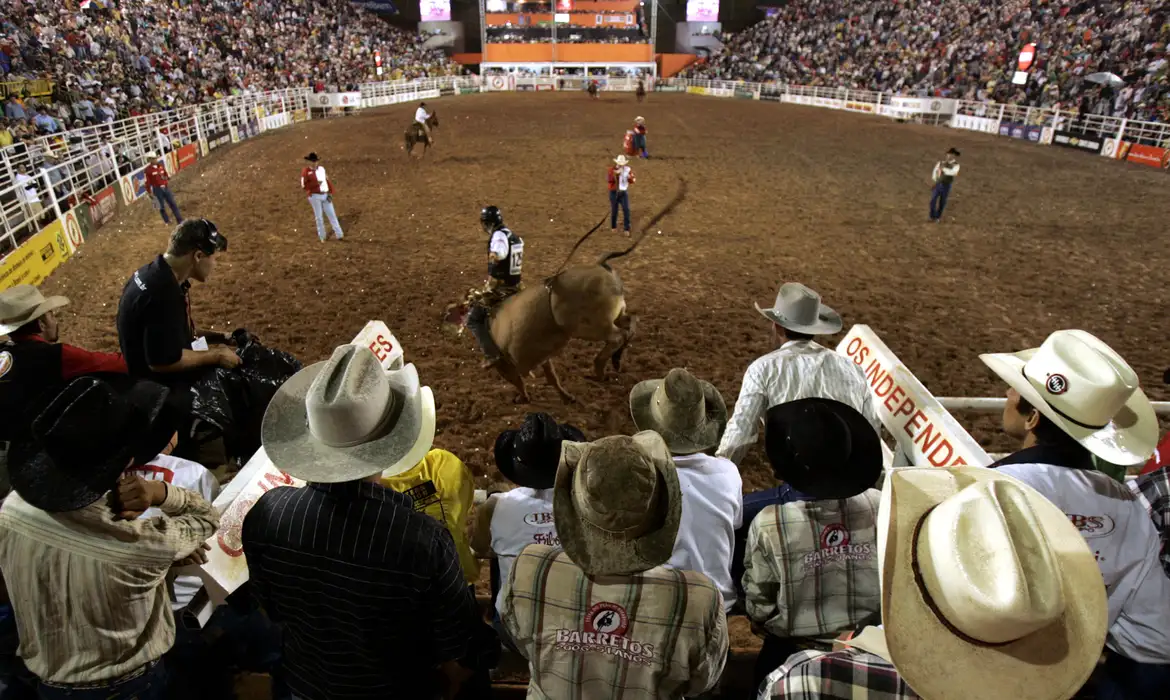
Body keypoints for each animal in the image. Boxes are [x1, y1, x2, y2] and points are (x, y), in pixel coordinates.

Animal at [444, 181, 683, 402]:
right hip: (615, 314)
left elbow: (518, 379)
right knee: (631, 323)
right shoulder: (542, 353)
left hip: (590, 327)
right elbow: (551, 375)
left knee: (617, 336)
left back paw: (598, 368)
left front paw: (523, 397)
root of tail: (600, 265)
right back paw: (613, 361)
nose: (445, 317)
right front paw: (566, 396)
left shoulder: (504, 362)